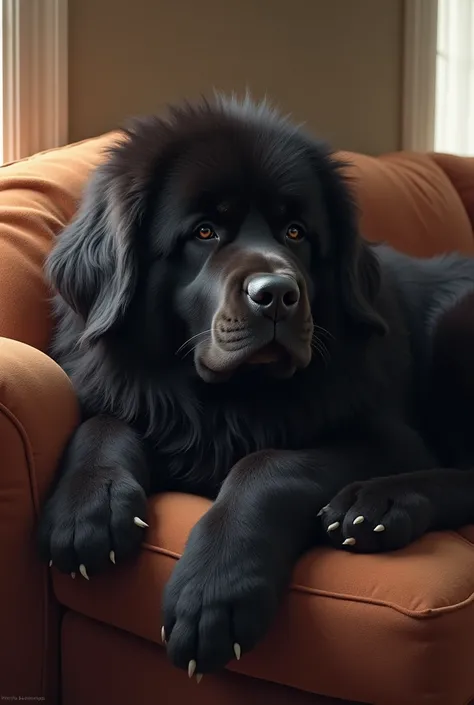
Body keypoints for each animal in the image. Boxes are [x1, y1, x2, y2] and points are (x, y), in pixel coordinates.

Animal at [38, 96, 474, 672]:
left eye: (296, 232)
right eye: (204, 232)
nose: (277, 295)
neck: (225, 401)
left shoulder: (392, 438)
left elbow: (267, 465)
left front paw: (216, 589)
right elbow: (102, 425)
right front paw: (89, 504)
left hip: (458, 323)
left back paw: (380, 505)